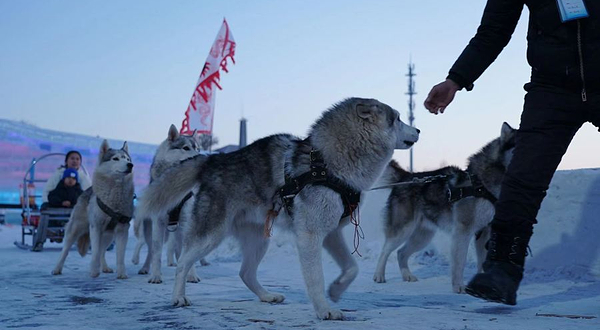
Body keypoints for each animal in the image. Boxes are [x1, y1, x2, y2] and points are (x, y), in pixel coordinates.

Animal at [51, 139, 135, 278]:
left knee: (102, 251)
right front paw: (94, 271)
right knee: (65, 250)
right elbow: (94, 251)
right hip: (75, 229)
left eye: (127, 159)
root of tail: (87, 190)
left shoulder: (122, 229)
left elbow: (120, 256)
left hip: (108, 236)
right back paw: (57, 268)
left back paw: (105, 267)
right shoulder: (96, 227)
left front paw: (122, 273)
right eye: (115, 159)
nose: (130, 165)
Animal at [131, 124, 206, 282]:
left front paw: (192, 275)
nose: (201, 157)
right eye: (185, 148)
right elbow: (157, 253)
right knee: (151, 250)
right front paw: (155, 276)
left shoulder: (186, 222)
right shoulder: (158, 223)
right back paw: (145, 268)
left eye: (198, 149)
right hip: (153, 231)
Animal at [370, 122, 516, 292]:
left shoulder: (485, 231)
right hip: (403, 230)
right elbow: (460, 262)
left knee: (401, 253)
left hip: (423, 236)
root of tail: (407, 176)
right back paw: (379, 275)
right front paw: (459, 286)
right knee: (386, 250)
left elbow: (482, 261)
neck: (481, 184)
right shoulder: (462, 231)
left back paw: (407, 276)